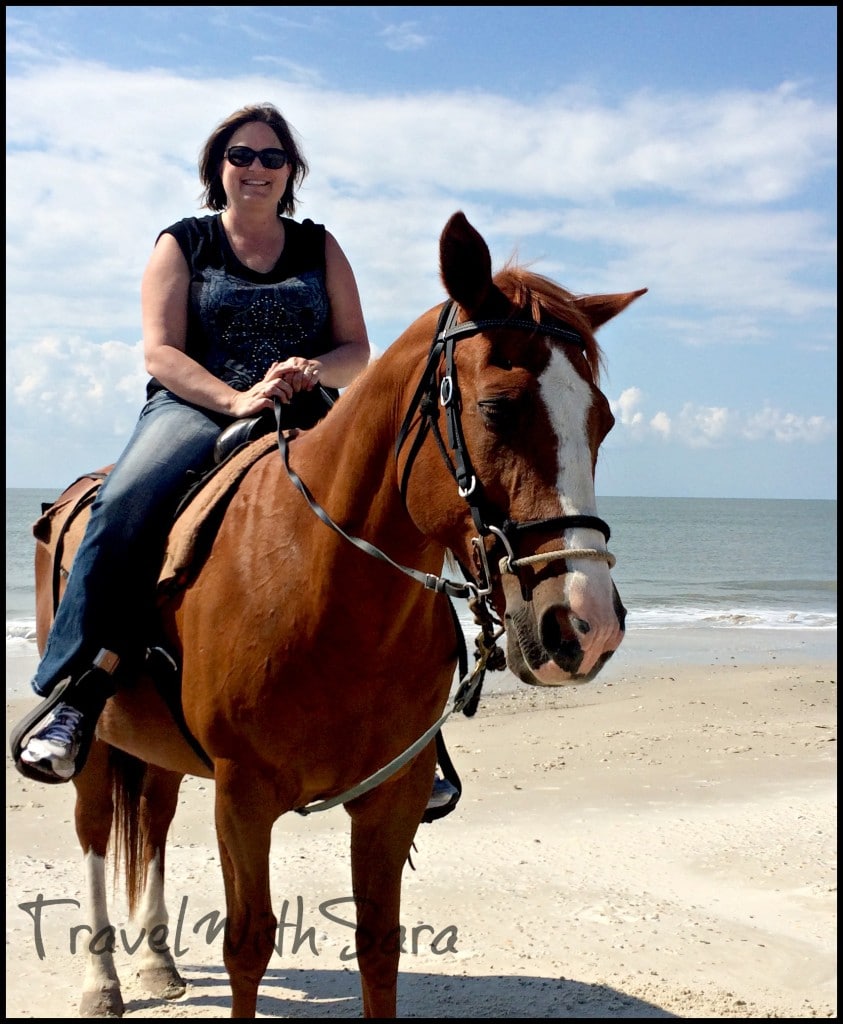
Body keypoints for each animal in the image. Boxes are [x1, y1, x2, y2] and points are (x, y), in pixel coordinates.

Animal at [26, 211, 647, 1019]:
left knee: (153, 822)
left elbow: (379, 946)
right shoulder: (242, 796)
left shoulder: (392, 797)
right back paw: (102, 980)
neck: (325, 595)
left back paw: (159, 962)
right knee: (96, 833)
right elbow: (248, 944)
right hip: (99, 741)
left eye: (601, 422)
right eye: (495, 408)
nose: (586, 623)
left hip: (155, 749)